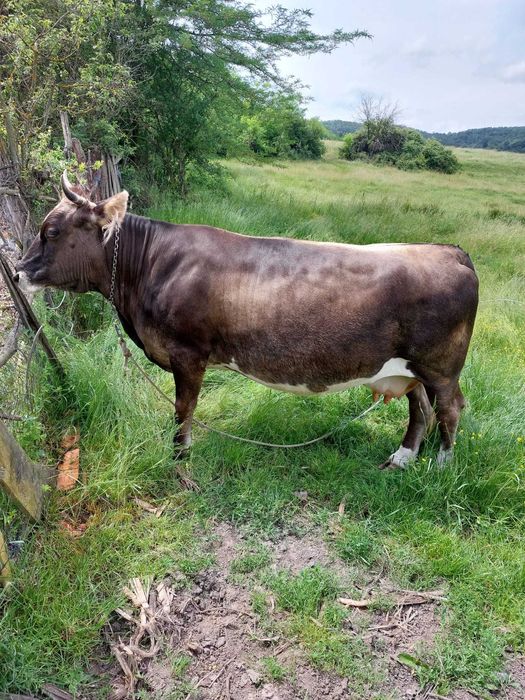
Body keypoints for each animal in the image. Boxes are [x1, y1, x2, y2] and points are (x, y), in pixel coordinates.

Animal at [15, 174, 478, 469]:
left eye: (51, 231)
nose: (17, 272)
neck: (149, 266)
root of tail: (449, 250)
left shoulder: (188, 353)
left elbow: (184, 409)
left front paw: (178, 458)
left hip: (440, 366)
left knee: (449, 408)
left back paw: (441, 466)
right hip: (409, 368)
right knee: (420, 409)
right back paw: (402, 458)